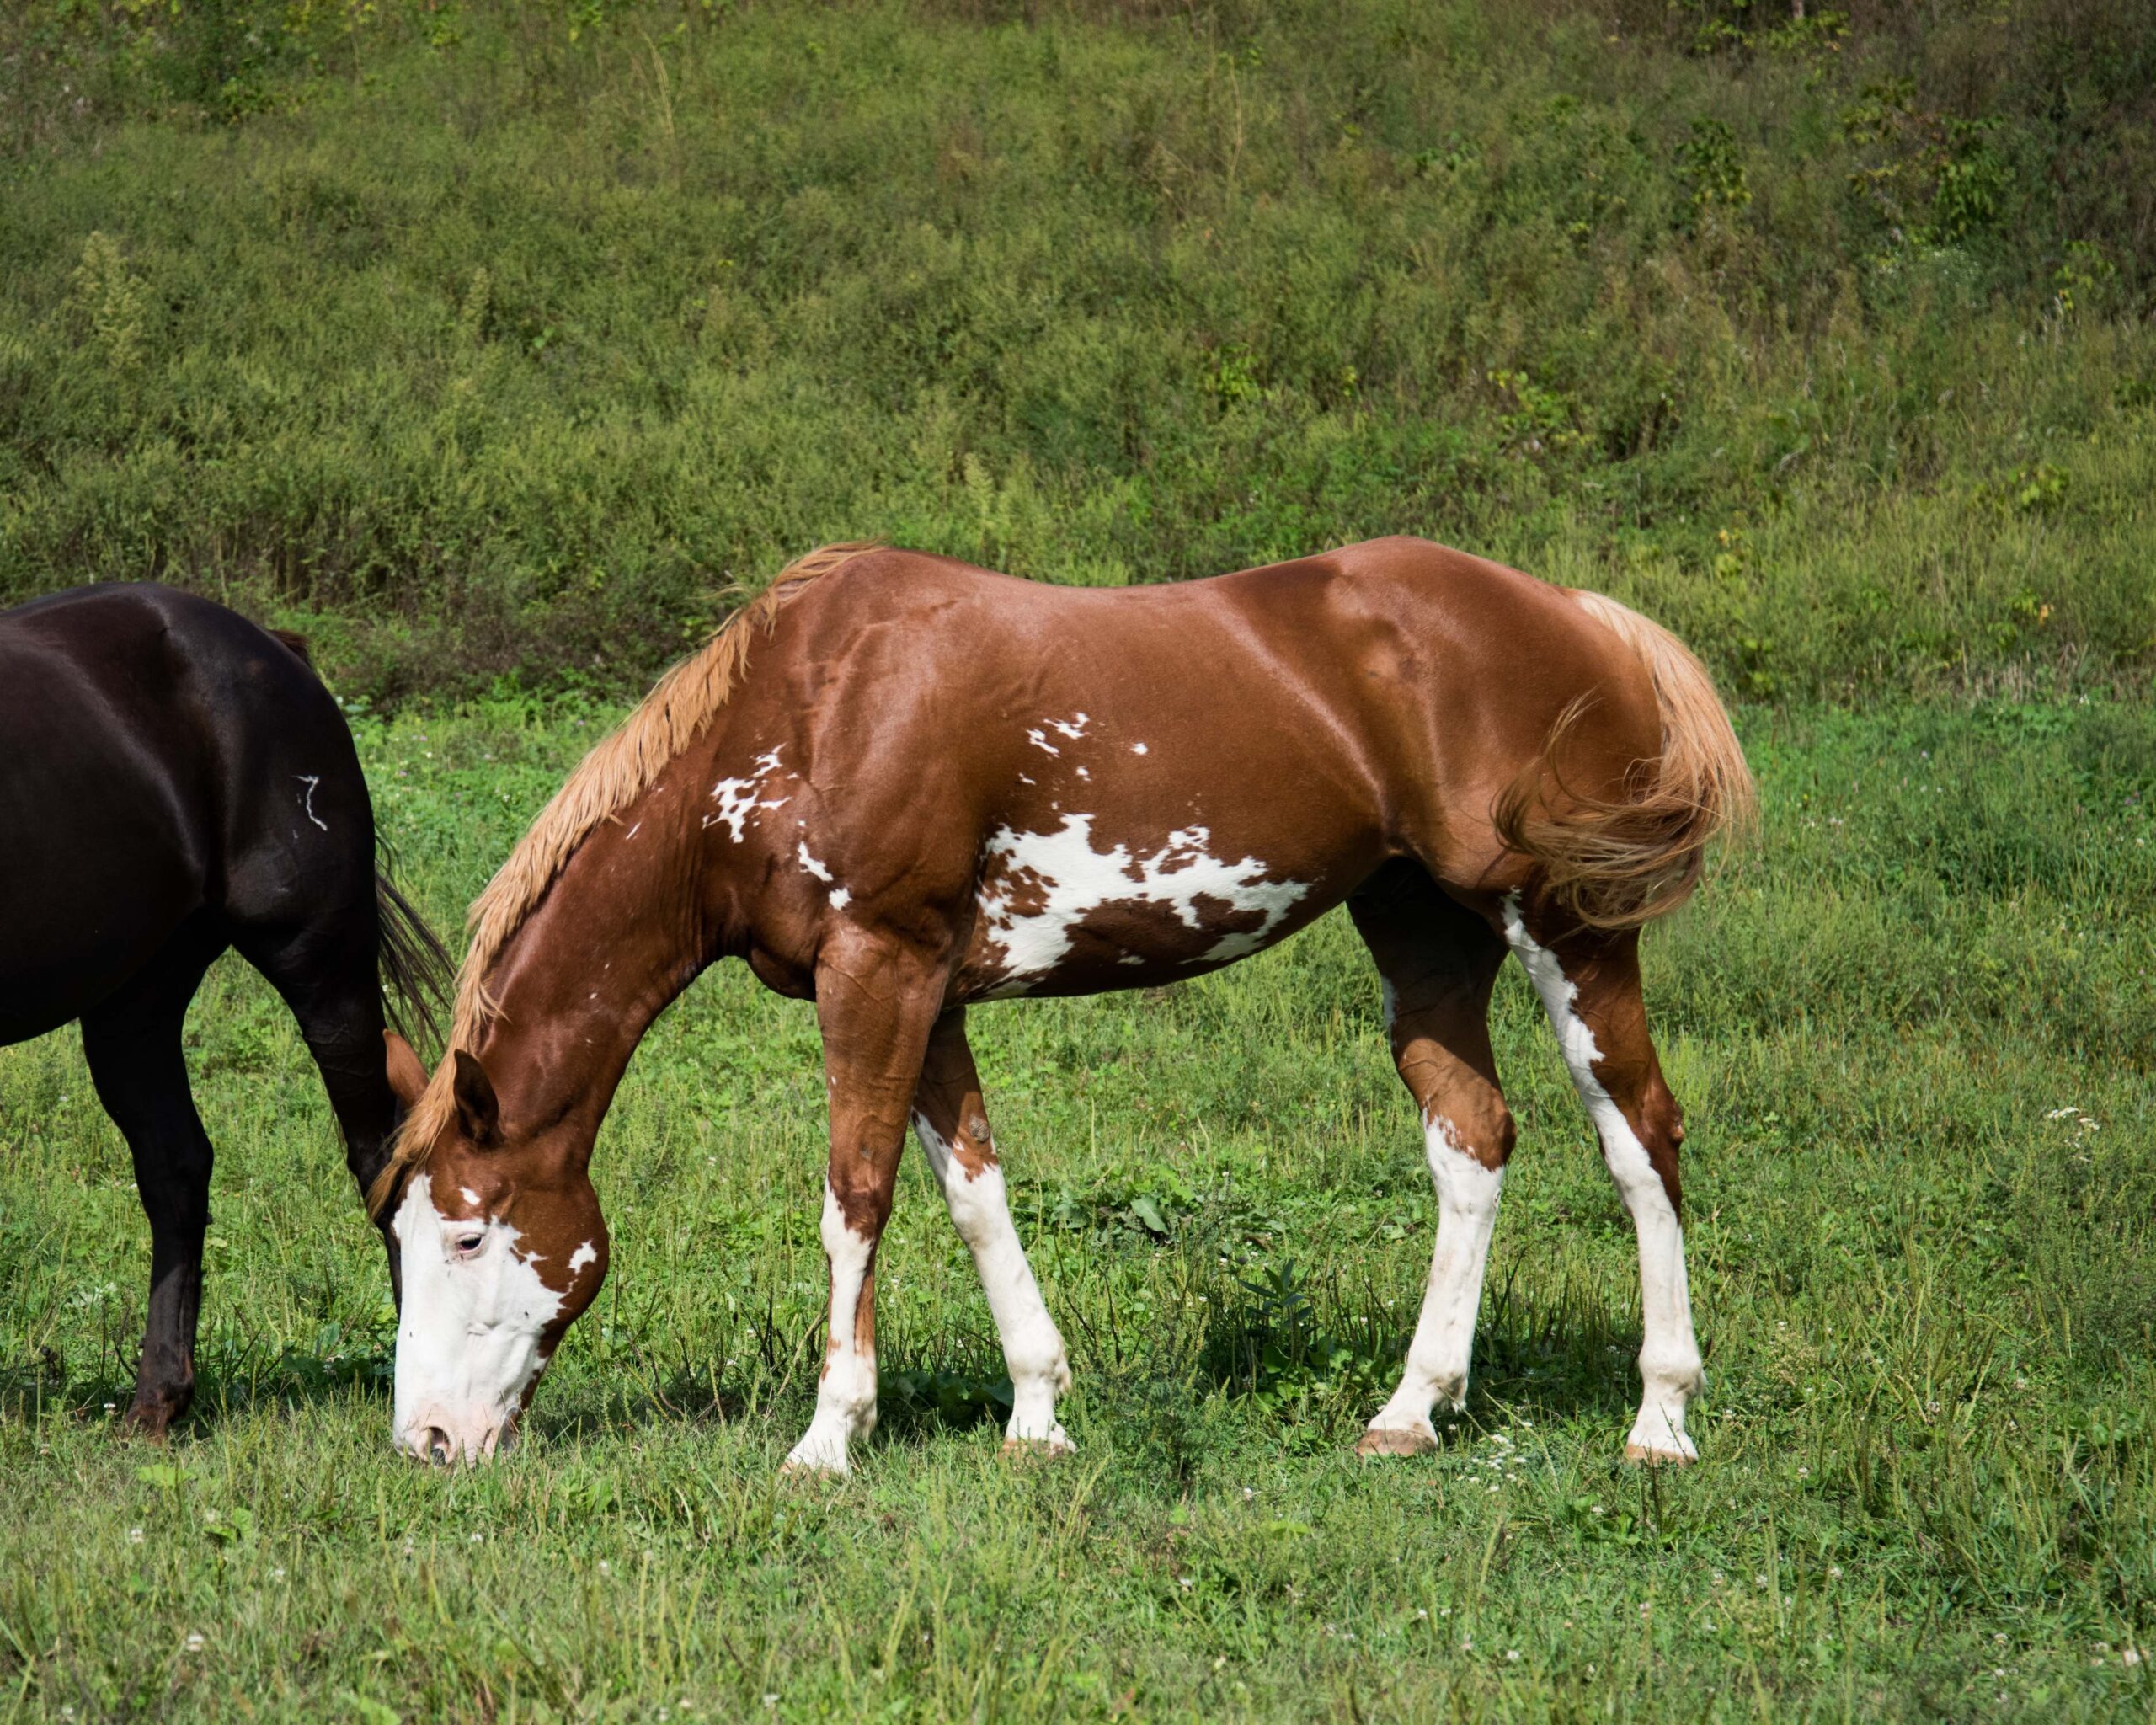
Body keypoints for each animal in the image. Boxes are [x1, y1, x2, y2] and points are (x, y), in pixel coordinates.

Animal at [0, 584, 449, 1435]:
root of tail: (273, 647)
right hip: (136, 1003)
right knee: (175, 1168)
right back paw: (158, 1400)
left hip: (319, 966)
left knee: (381, 1156)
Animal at [371, 538, 1753, 1471]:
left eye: (469, 1236)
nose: (425, 1439)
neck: (814, 712)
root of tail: (1579, 616)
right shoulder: (928, 993)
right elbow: (974, 1195)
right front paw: (1036, 1413)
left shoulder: (876, 969)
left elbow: (854, 1197)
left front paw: (828, 1436)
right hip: (1423, 931)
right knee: (1472, 1140)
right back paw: (1412, 1410)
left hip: (1569, 929)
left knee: (1641, 1137)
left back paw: (1660, 1416)